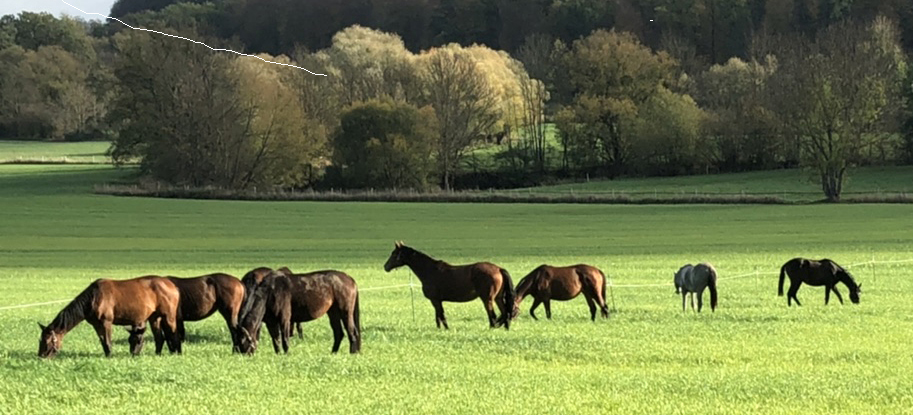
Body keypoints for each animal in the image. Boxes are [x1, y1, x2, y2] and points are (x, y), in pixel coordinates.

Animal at [37, 276, 182, 358]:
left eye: (48, 340)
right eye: (40, 339)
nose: (41, 356)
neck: (94, 298)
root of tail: (172, 285)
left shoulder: (106, 322)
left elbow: (107, 341)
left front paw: (110, 356)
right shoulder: (96, 325)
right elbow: (103, 341)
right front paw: (107, 354)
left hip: (168, 316)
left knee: (174, 334)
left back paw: (177, 352)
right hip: (154, 318)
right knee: (159, 338)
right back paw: (158, 354)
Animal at [382, 242, 516, 330]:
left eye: (394, 254)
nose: (385, 267)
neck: (430, 271)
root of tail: (498, 269)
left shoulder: (435, 300)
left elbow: (441, 316)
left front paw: (446, 329)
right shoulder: (436, 301)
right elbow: (438, 316)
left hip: (487, 299)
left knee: (493, 316)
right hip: (498, 298)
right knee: (505, 313)